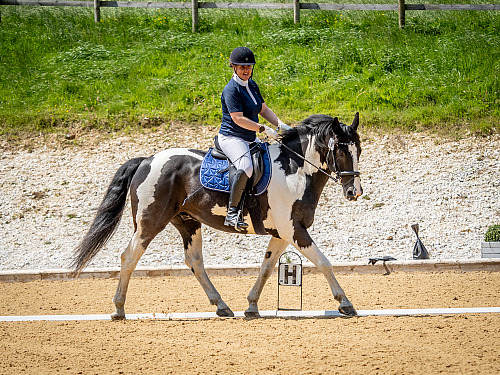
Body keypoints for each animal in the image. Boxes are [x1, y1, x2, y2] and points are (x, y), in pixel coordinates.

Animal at [71, 112, 364, 320]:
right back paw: (118, 309)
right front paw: (345, 303)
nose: (355, 192)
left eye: (358, 150)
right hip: (149, 223)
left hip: (188, 223)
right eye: (340, 150)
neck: (294, 170)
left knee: (194, 261)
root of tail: (146, 160)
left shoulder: (283, 233)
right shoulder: (294, 230)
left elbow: (267, 267)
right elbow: (324, 262)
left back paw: (221, 306)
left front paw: (252, 306)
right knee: (129, 257)